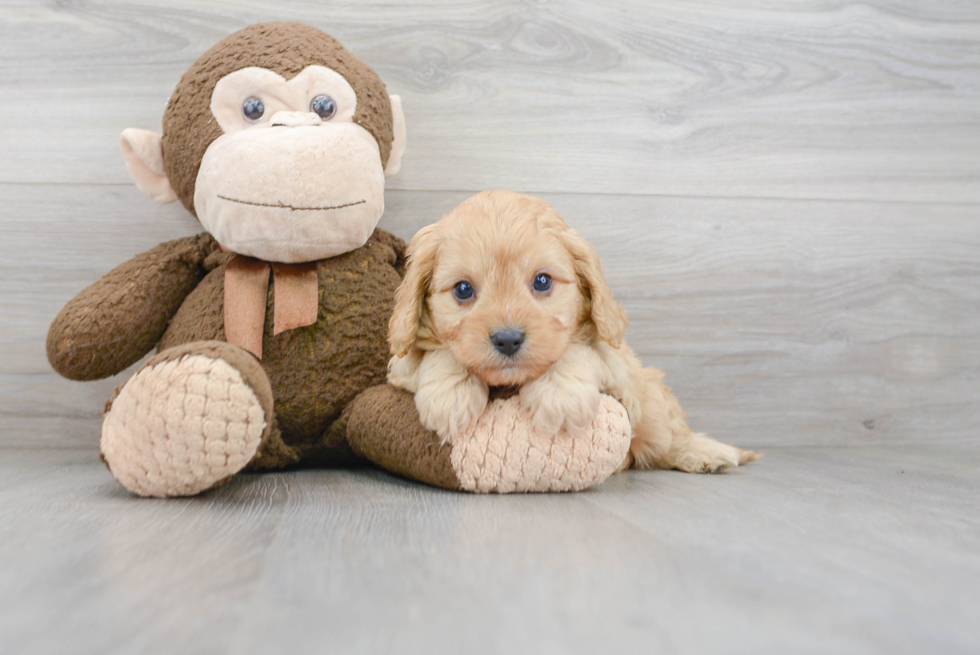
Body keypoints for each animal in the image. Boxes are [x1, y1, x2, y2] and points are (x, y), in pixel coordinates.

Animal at [386, 188, 760, 472]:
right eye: (463, 289)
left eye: (542, 281)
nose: (508, 340)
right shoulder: (400, 366)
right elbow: (433, 353)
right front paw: (451, 393)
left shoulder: (615, 362)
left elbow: (578, 350)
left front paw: (558, 392)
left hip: (651, 400)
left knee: (669, 435)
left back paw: (707, 453)